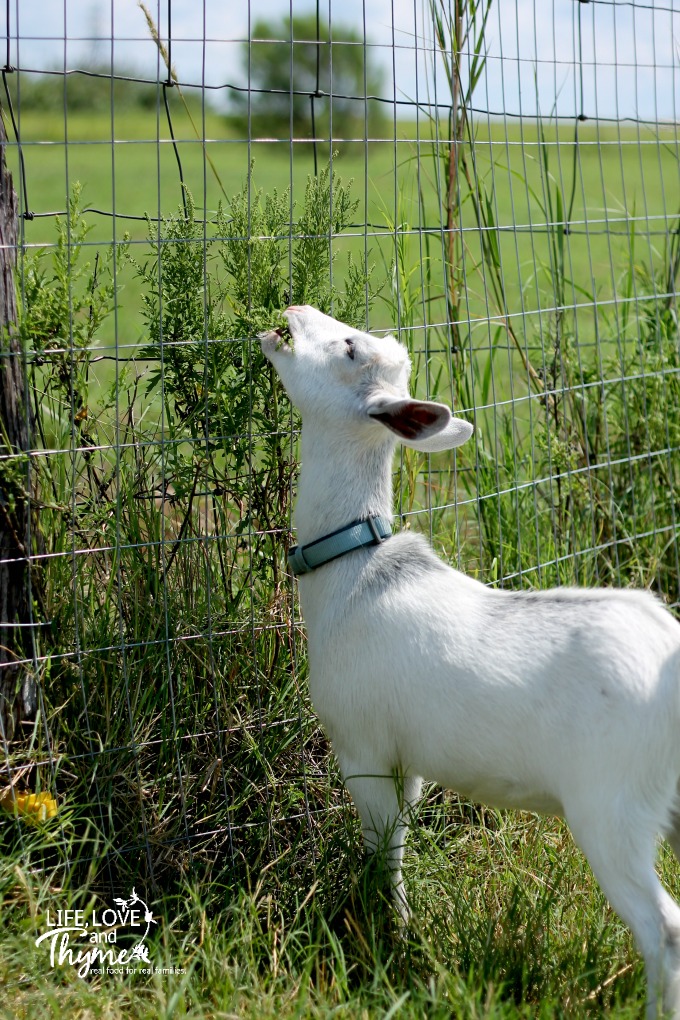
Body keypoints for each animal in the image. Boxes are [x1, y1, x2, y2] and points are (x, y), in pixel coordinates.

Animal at [260, 303, 680, 1020]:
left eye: (348, 348)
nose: (289, 313)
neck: (354, 573)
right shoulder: (411, 760)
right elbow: (400, 841)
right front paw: (401, 928)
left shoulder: (361, 746)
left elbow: (381, 849)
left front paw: (388, 934)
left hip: (612, 808)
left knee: (664, 930)